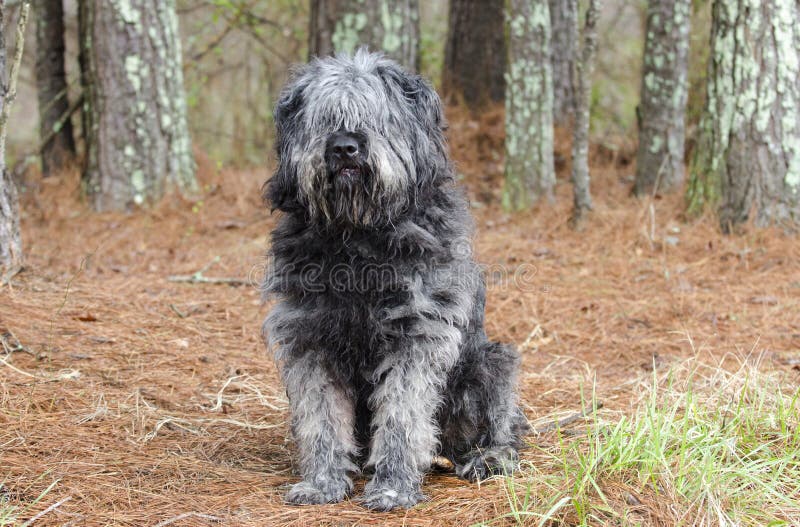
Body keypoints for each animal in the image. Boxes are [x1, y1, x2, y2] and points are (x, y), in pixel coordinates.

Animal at [260, 49, 524, 512]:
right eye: (325, 118)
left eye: (373, 116)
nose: (343, 146)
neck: (358, 238)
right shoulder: (307, 337)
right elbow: (320, 416)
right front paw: (323, 482)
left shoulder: (418, 333)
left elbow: (403, 414)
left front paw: (393, 487)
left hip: (491, 364)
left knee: (502, 431)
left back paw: (487, 459)